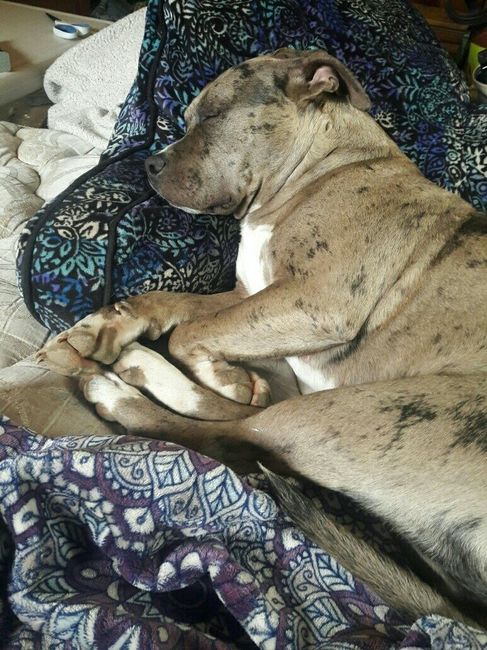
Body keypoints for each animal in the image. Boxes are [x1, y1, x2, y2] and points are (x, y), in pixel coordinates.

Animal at [38, 49, 487, 627]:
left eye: (211, 116)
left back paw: (123, 386)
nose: (150, 166)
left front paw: (222, 375)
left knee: (229, 433)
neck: (323, 169)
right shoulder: (249, 294)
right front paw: (104, 326)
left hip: (367, 413)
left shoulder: (318, 300)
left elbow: (191, 335)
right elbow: (169, 305)